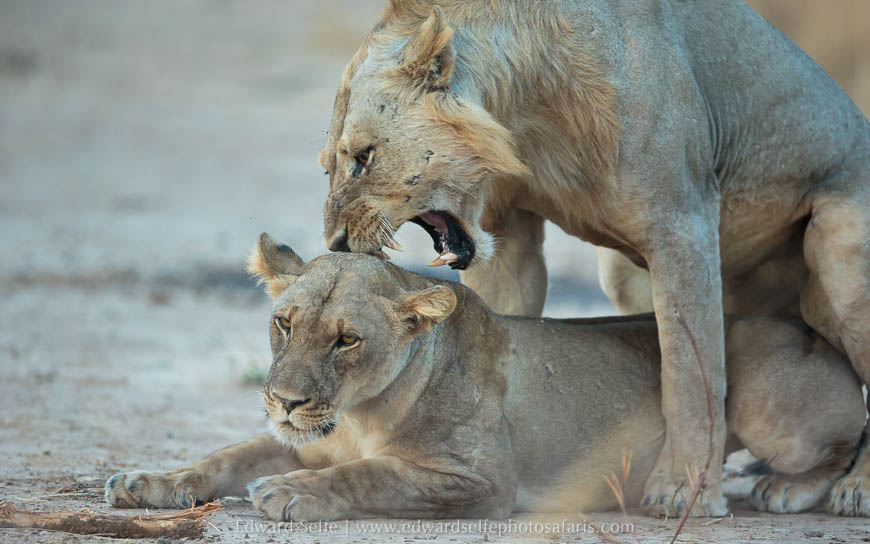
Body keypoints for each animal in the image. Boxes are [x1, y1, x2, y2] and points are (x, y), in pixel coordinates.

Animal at [105, 234, 865, 520]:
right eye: (283, 324)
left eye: (347, 339)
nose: (285, 401)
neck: (357, 413)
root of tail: (812, 330)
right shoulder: (303, 438)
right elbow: (224, 456)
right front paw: (146, 481)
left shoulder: (478, 479)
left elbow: (374, 475)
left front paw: (292, 493)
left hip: (764, 392)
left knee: (845, 439)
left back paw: (796, 492)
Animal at [317, 0, 870, 516]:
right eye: (327, 167)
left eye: (364, 157)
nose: (337, 242)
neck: (526, 109)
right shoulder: (507, 231)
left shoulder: (683, 221)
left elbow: (690, 374)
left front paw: (682, 491)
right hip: (622, 271)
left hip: (839, 253)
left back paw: (844, 488)